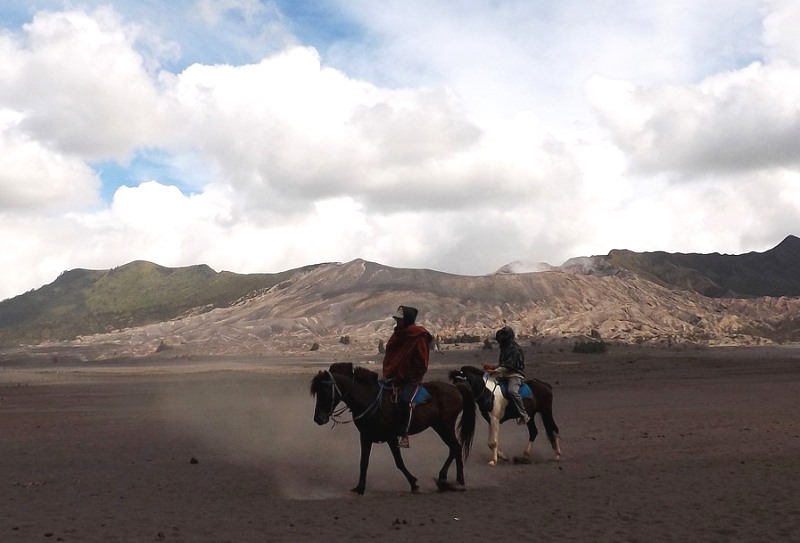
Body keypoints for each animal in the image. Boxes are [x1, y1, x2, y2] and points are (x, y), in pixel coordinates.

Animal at [310, 364, 476, 496]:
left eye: (325, 390)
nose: (318, 418)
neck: (369, 399)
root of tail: (456, 388)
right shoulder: (365, 436)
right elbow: (364, 462)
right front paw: (360, 488)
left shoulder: (391, 437)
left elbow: (399, 462)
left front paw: (414, 484)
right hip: (440, 426)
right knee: (455, 448)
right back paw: (453, 481)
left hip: (444, 425)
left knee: (455, 447)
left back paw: (451, 481)